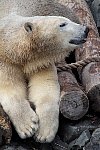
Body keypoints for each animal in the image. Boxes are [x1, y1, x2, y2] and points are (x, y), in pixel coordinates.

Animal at [0, 0, 89, 143]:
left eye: (67, 21)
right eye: (62, 24)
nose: (85, 29)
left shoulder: (40, 62)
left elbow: (45, 88)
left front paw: (44, 133)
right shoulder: (6, 61)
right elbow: (10, 88)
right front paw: (28, 126)